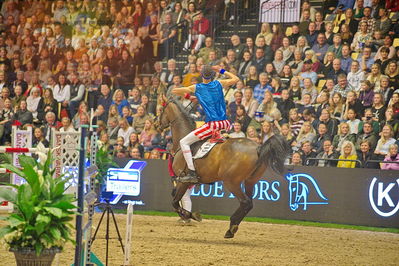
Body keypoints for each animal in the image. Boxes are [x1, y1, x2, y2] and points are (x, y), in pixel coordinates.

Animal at [157, 96, 290, 239]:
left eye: (161, 110)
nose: (157, 125)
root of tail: (259, 147)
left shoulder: (183, 181)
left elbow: (175, 202)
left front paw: (190, 215)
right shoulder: (185, 182)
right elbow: (175, 199)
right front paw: (187, 216)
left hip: (231, 182)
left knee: (245, 202)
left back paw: (231, 226)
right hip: (250, 181)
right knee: (249, 203)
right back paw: (232, 227)